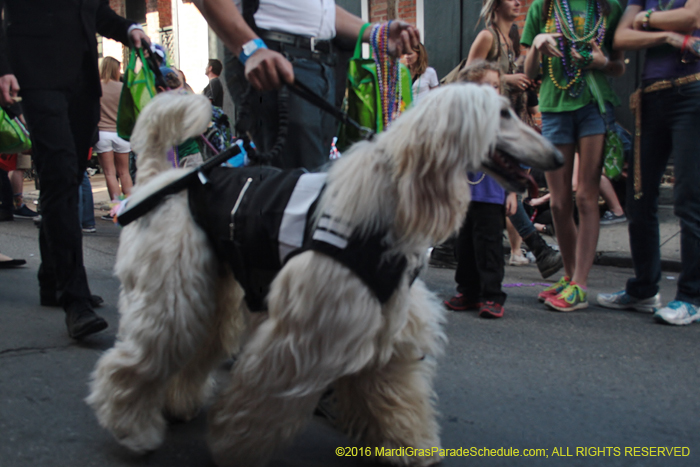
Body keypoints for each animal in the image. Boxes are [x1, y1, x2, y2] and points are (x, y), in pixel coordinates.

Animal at [86, 85, 564, 467]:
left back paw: (176, 404)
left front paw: (410, 445)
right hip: (171, 291)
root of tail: (156, 178)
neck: (396, 195)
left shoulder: (382, 322)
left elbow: (395, 394)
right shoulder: (309, 333)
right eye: (502, 114)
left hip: (207, 289)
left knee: (196, 348)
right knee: (133, 360)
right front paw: (233, 445)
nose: (558, 158)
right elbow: (261, 399)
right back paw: (132, 427)